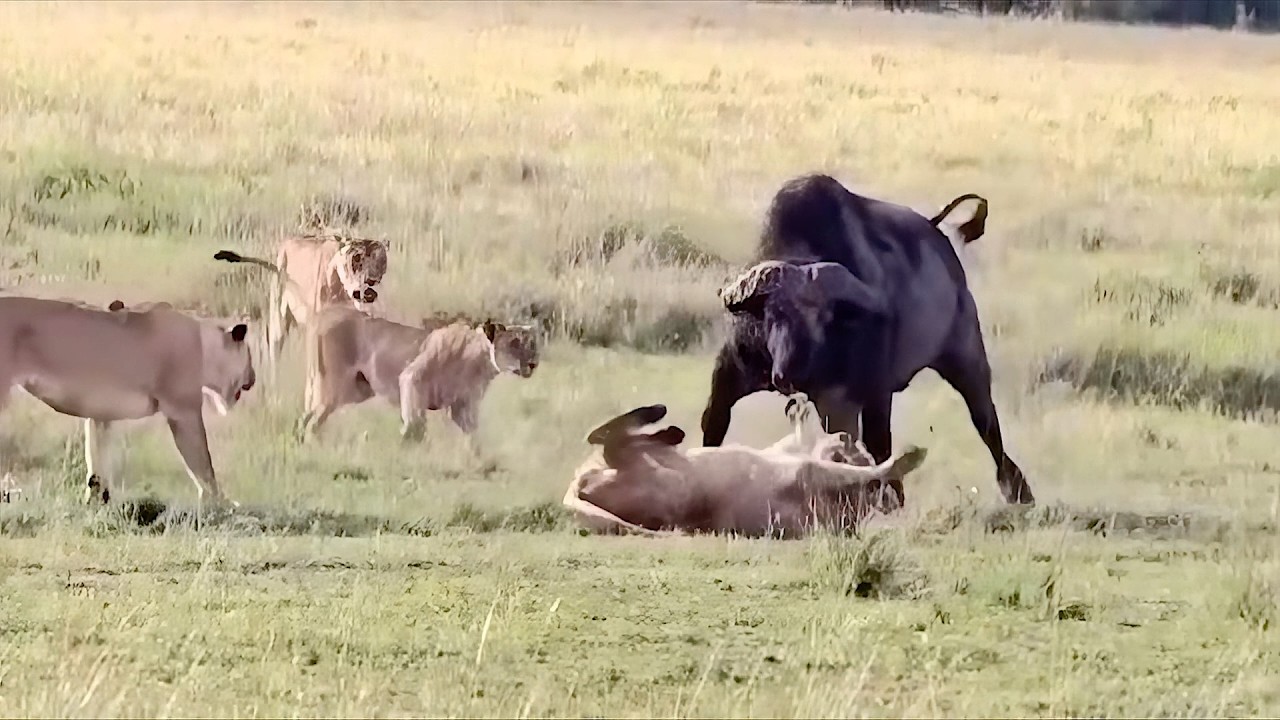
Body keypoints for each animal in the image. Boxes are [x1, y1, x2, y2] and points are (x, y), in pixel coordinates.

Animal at [0, 294, 255, 506]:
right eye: (250, 355)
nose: (253, 378)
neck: (205, 346)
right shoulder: (183, 410)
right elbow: (202, 462)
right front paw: (220, 504)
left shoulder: (100, 413)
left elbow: (96, 462)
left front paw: (96, 503)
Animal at [298, 306, 541, 449]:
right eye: (514, 343)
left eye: (532, 344)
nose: (533, 363)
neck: (479, 361)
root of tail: (324, 313)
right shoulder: (411, 378)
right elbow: (416, 423)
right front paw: (407, 447)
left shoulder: (462, 405)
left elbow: (473, 434)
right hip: (333, 385)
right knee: (313, 420)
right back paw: (314, 447)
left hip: (356, 389)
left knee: (307, 416)